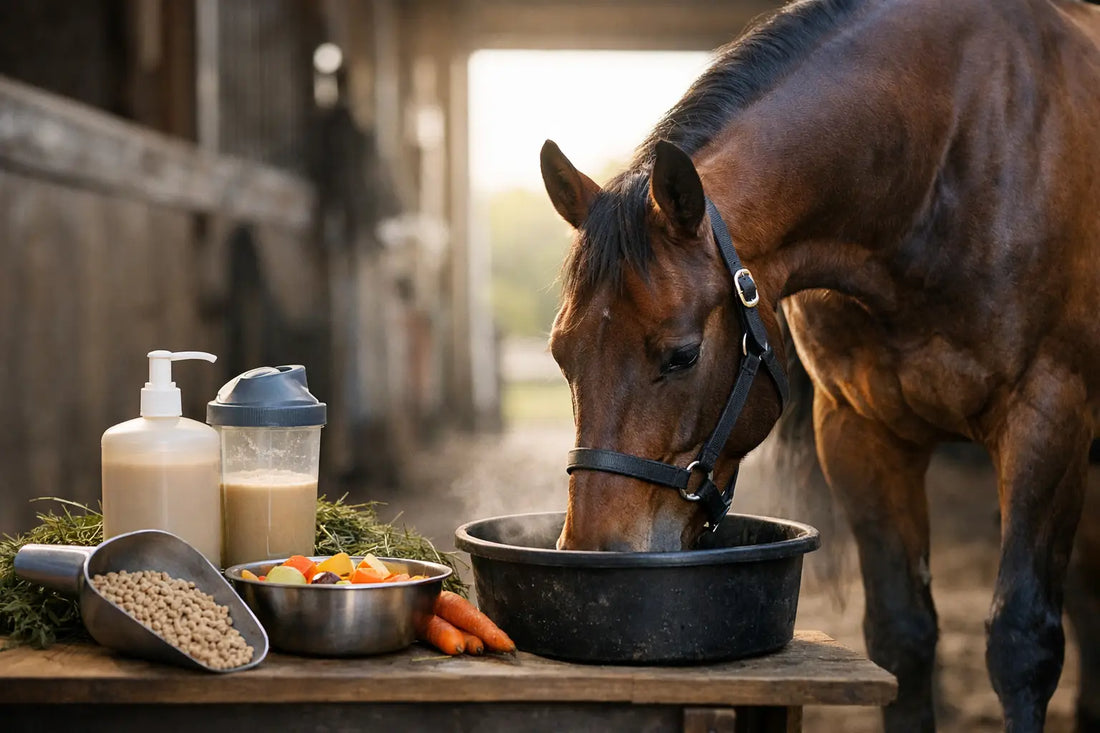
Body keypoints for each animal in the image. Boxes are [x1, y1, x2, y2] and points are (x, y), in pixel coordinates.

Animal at [538, 0, 1100, 730]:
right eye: (561, 353)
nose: (592, 555)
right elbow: (902, 635)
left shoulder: (1048, 420)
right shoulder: (862, 433)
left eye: (681, 355)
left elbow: (1022, 643)